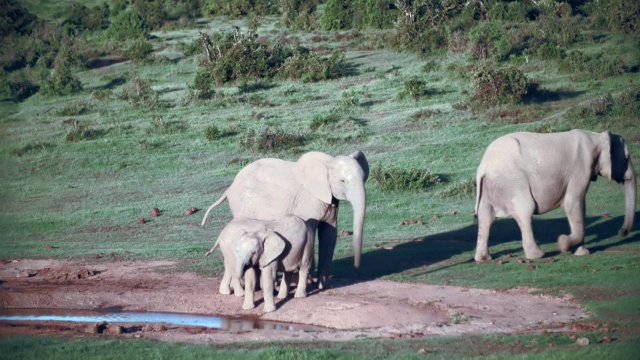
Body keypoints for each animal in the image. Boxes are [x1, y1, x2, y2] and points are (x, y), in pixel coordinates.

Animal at [202, 150, 368, 288]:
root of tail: (229, 188)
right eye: (342, 181)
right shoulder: (309, 199)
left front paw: (323, 286)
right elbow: (311, 230)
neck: (327, 162)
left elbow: (329, 234)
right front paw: (305, 282)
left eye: (364, 179)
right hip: (242, 204)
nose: (356, 267)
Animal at [476, 130, 636, 262]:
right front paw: (563, 242)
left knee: (486, 216)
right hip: (513, 182)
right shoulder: (581, 168)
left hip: (491, 186)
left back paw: (483, 259)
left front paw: (581, 252)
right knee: (525, 210)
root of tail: (484, 165)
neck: (597, 136)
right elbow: (573, 202)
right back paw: (538, 255)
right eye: (627, 157)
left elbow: (580, 206)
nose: (622, 232)